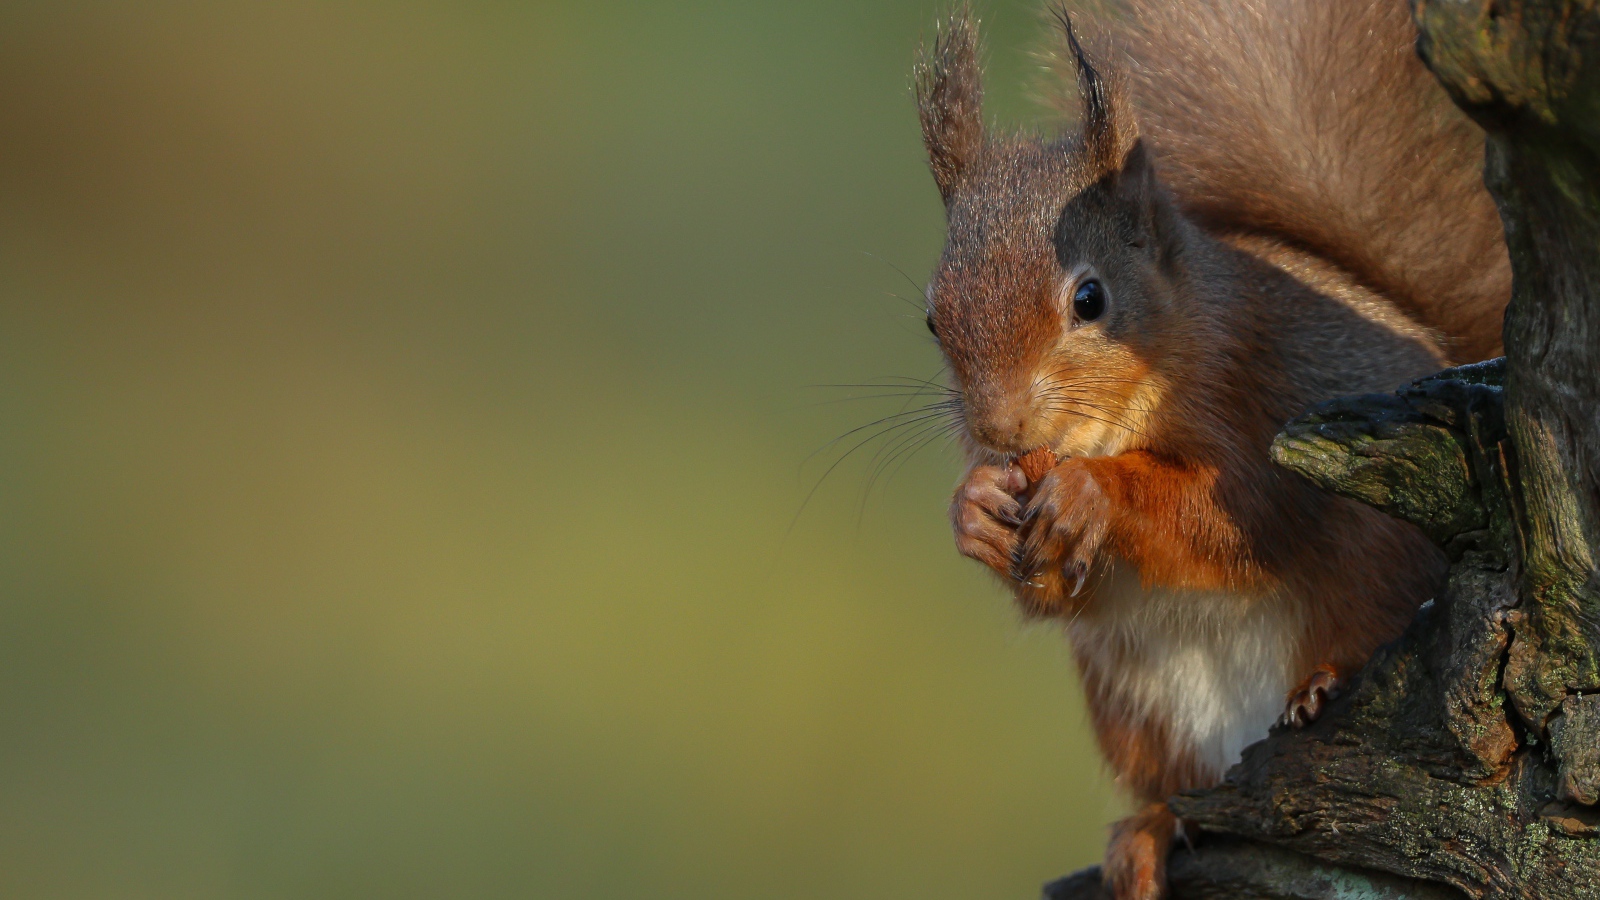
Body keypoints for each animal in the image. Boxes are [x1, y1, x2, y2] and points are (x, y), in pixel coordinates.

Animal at [921, 3, 1504, 890]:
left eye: (1089, 299)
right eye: (932, 317)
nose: (998, 428)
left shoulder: (1257, 398)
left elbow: (1237, 520)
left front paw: (1097, 491)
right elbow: (1055, 594)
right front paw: (974, 510)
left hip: (1381, 570)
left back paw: (1324, 682)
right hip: (1137, 711)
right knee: (1175, 792)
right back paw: (1151, 831)